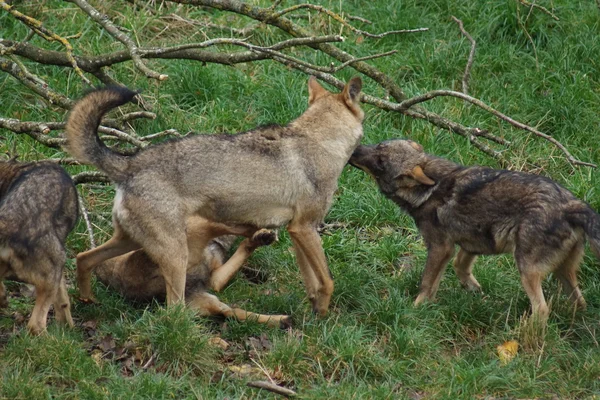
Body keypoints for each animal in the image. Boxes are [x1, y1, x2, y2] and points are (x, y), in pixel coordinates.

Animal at [350, 139, 600, 320]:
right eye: (378, 145)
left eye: (380, 162)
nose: (354, 148)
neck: (429, 190)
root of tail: (572, 205)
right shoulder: (472, 243)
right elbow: (460, 266)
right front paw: (474, 290)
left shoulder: (441, 247)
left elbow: (426, 283)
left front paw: (415, 310)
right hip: (562, 273)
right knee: (580, 303)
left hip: (527, 270)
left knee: (541, 309)